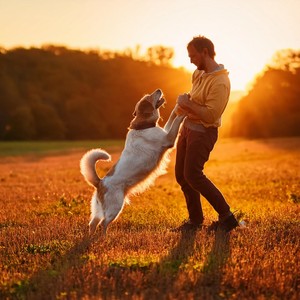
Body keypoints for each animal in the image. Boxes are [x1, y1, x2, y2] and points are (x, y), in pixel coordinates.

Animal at [79, 88, 185, 234]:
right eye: (149, 96)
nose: (159, 89)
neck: (144, 126)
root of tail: (100, 182)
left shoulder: (166, 133)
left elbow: (171, 117)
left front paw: (177, 107)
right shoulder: (168, 139)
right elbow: (176, 121)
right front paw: (184, 111)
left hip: (99, 209)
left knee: (93, 223)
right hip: (115, 207)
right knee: (103, 223)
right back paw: (104, 237)